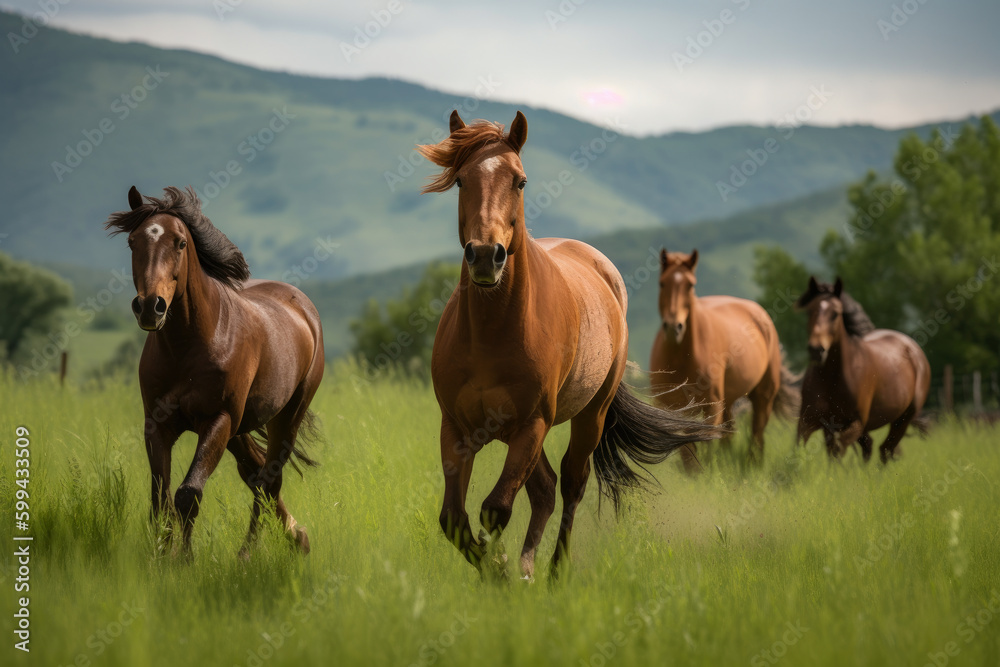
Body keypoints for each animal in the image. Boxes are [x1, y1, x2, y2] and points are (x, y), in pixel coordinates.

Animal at [102, 188, 322, 560]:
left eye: (180, 243)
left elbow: (188, 493)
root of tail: (304, 309)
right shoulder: (157, 424)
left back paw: (248, 555)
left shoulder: (217, 420)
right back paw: (300, 537)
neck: (191, 344)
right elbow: (160, 497)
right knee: (255, 474)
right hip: (240, 428)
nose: (150, 307)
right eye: (132, 241)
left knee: (269, 479)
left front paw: (183, 561)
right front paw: (161, 557)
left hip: (285, 416)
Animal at [414, 109, 720, 580]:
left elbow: (495, 509)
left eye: (520, 181)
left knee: (572, 482)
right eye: (462, 180)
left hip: (589, 416)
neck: (490, 334)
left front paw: (500, 571)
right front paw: (500, 568)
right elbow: (454, 519)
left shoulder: (531, 426)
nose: (485, 256)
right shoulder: (458, 430)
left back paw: (555, 571)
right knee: (545, 488)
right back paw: (527, 566)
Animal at [648, 247, 796, 470]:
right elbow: (686, 447)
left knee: (757, 434)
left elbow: (705, 442)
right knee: (729, 434)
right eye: (662, 283)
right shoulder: (670, 407)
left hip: (763, 396)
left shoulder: (712, 405)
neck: (681, 357)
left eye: (690, 285)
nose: (674, 327)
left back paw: (752, 466)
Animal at [792, 280, 932, 462]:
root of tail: (913, 348)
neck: (831, 379)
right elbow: (800, 451)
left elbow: (838, 449)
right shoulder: (810, 421)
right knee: (870, 446)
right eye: (809, 311)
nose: (817, 350)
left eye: (835, 313)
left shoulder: (855, 423)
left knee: (884, 450)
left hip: (903, 419)